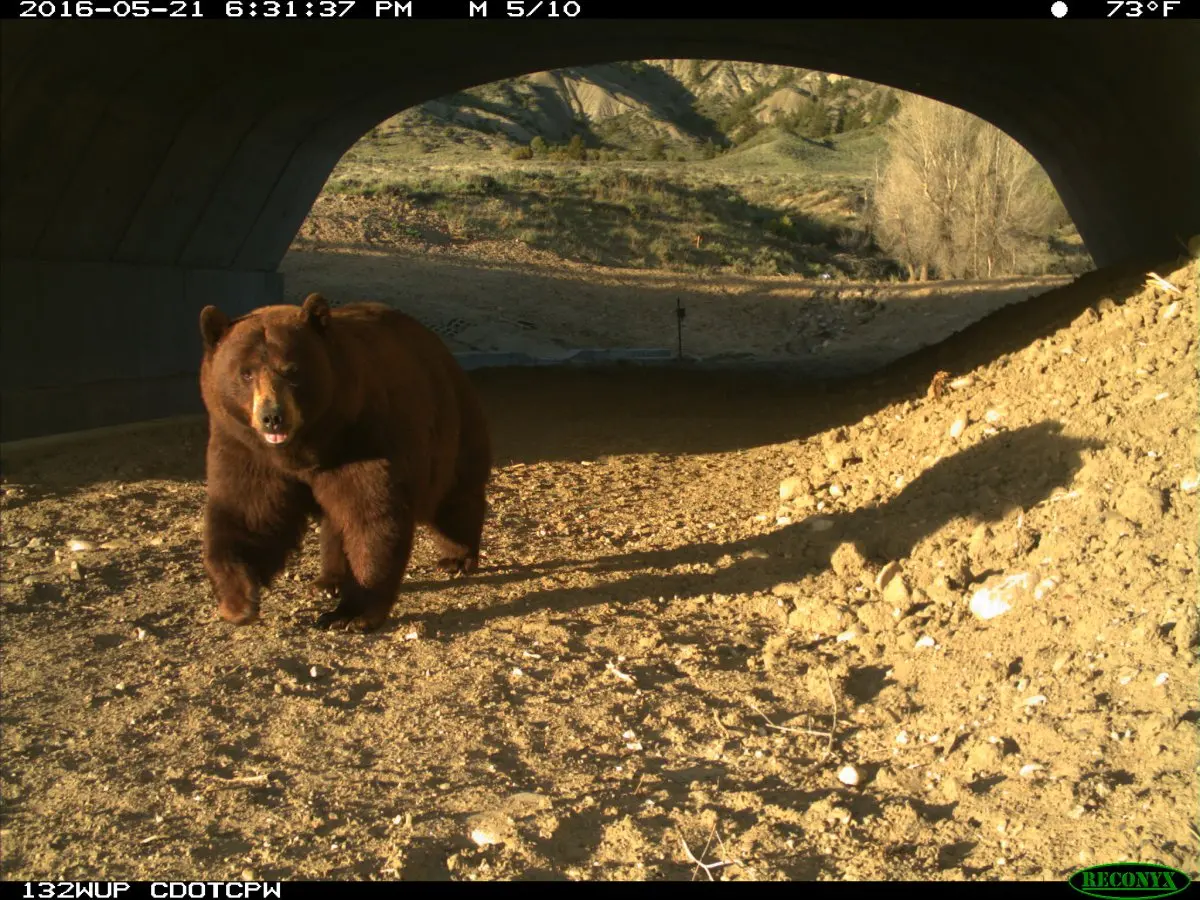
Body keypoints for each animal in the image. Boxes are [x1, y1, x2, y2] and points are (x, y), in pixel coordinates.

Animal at [199, 292, 489, 628]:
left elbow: (371, 517)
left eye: (292, 370)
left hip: (450, 423)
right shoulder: (246, 448)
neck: (305, 448)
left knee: (454, 495)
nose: (272, 417)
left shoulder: (363, 436)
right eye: (245, 373)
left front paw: (349, 614)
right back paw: (329, 580)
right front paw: (238, 600)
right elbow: (249, 514)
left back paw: (456, 556)